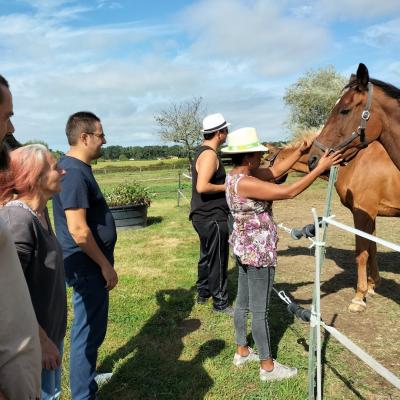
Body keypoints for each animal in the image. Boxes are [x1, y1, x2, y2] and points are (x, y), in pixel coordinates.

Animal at [276, 141, 400, 312]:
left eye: (267, 159)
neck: (356, 163)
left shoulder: (362, 214)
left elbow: (362, 255)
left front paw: (359, 297)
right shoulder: (371, 215)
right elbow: (372, 249)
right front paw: (372, 285)